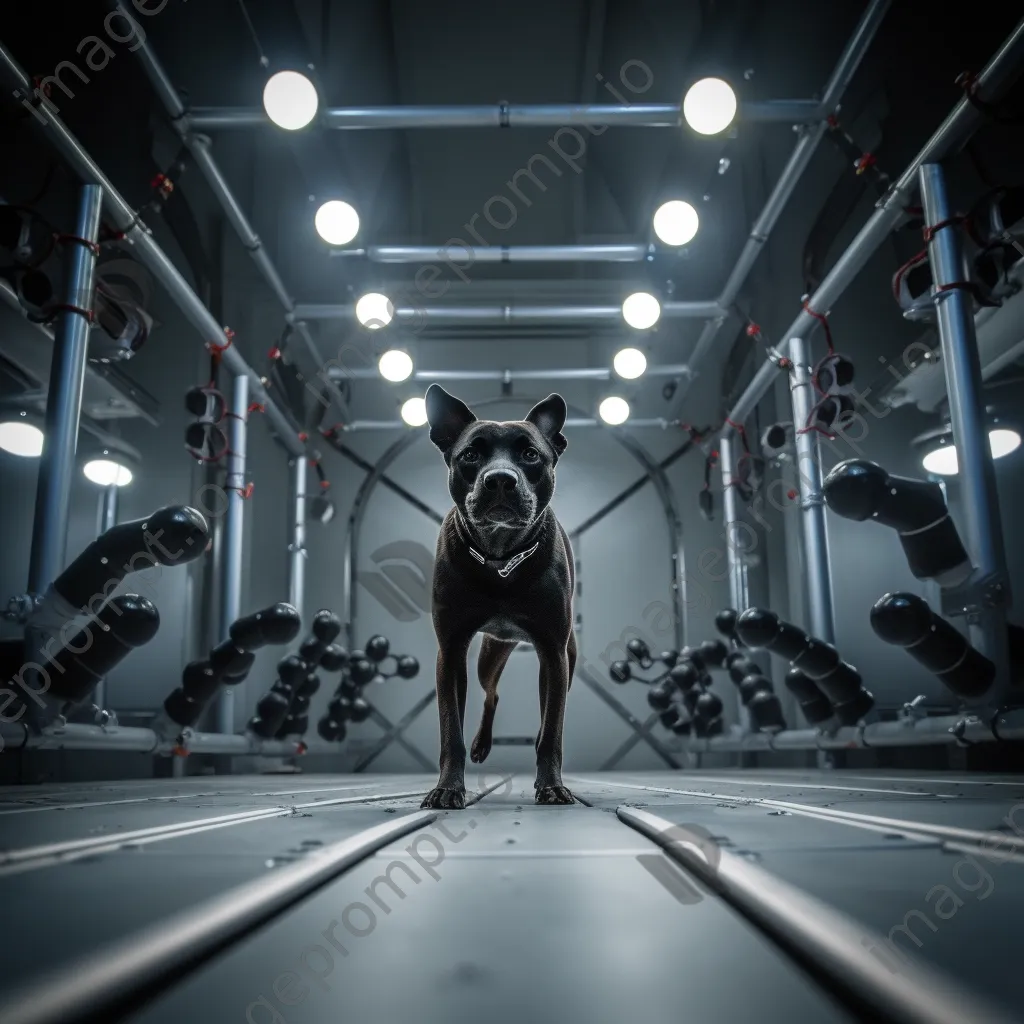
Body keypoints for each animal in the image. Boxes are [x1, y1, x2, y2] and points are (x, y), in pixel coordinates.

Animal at [417, 385, 577, 806]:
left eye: (531, 454)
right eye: (470, 455)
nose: (501, 479)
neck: (501, 558)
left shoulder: (554, 652)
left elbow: (553, 730)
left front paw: (551, 785)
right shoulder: (451, 651)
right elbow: (450, 731)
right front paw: (447, 788)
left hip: (564, 658)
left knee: (541, 712)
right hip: (488, 656)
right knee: (491, 694)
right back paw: (481, 746)